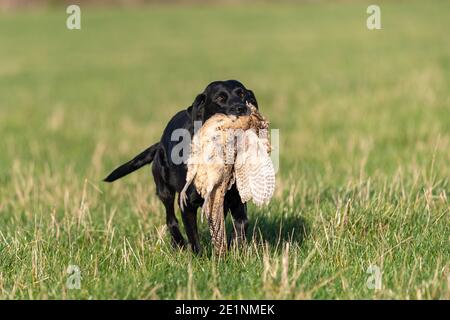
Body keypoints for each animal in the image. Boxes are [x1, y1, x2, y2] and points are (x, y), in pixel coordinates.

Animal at [104, 80, 258, 255]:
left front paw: (233, 251)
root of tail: (159, 144)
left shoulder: (236, 200)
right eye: (220, 98)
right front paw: (200, 257)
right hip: (164, 191)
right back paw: (178, 243)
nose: (241, 108)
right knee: (171, 220)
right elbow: (193, 236)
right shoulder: (186, 203)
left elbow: (241, 223)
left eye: (242, 94)